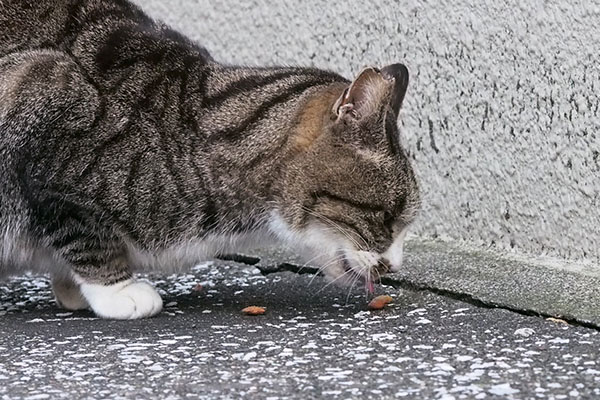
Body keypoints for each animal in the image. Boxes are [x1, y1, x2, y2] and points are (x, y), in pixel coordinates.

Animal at [0, 0, 420, 318]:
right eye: (387, 217)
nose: (395, 266)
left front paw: (70, 288)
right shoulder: (44, 98)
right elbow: (81, 231)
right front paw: (116, 291)